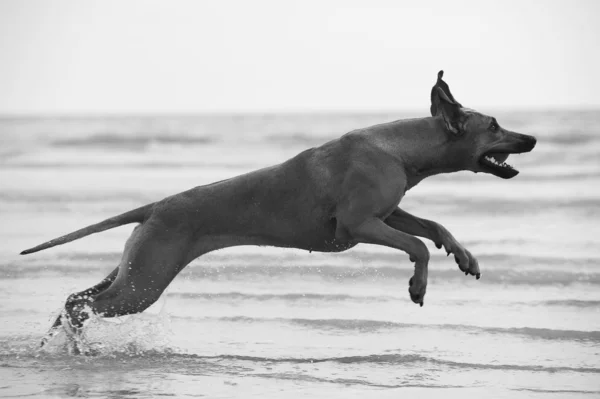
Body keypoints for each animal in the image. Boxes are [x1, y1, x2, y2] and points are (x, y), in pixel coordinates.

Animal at [21, 70, 536, 352]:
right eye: (494, 126)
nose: (531, 139)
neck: (401, 148)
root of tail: (155, 206)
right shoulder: (360, 224)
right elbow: (416, 244)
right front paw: (418, 283)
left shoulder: (386, 213)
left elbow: (432, 226)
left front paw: (463, 255)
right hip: (145, 281)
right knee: (83, 304)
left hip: (136, 266)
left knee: (75, 298)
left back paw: (64, 345)